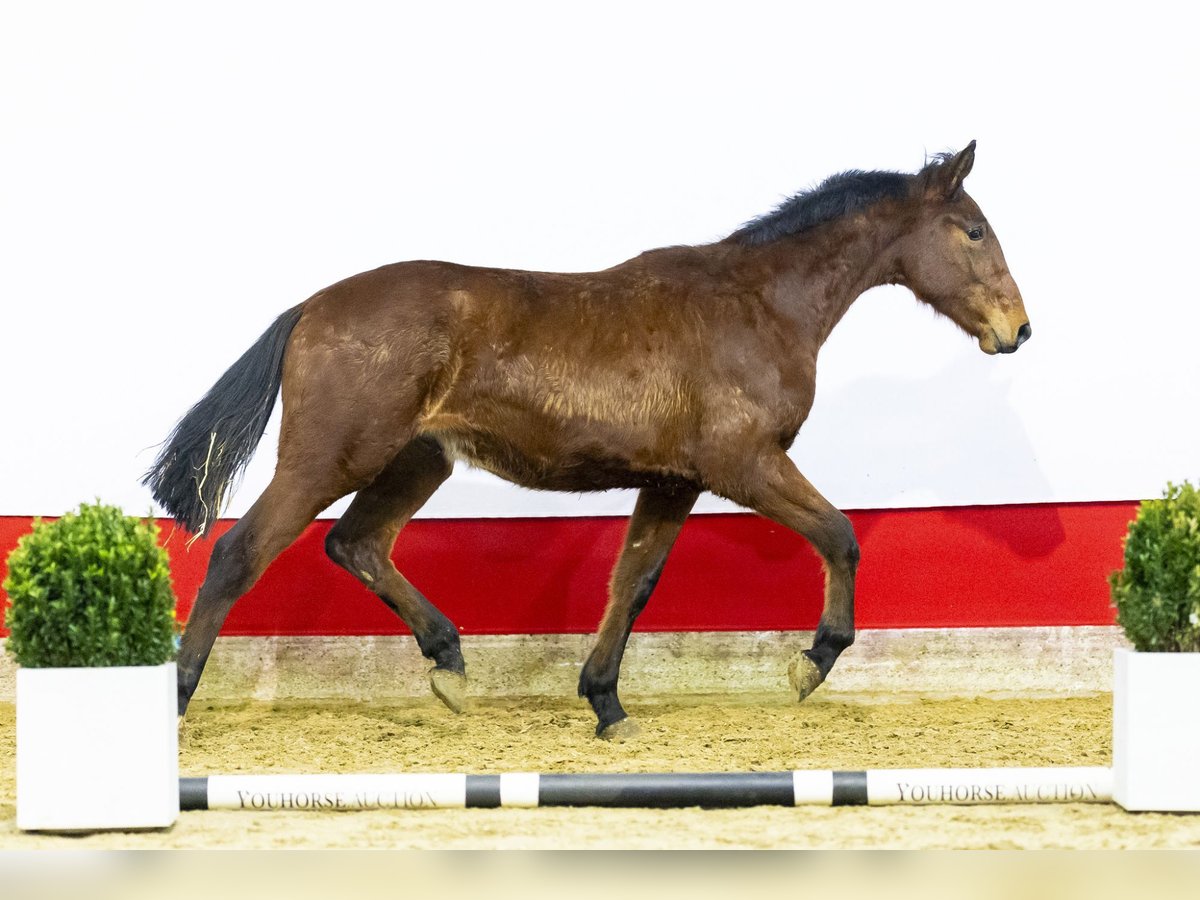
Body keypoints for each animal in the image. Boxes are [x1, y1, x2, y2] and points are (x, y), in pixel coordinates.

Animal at [147, 141, 1032, 739]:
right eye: (972, 230)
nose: (1017, 330)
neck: (759, 306)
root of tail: (311, 307)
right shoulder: (743, 464)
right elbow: (840, 535)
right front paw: (808, 664)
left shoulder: (674, 479)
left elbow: (632, 582)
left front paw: (606, 703)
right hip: (331, 455)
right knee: (240, 552)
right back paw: (180, 697)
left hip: (416, 459)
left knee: (356, 543)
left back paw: (450, 668)